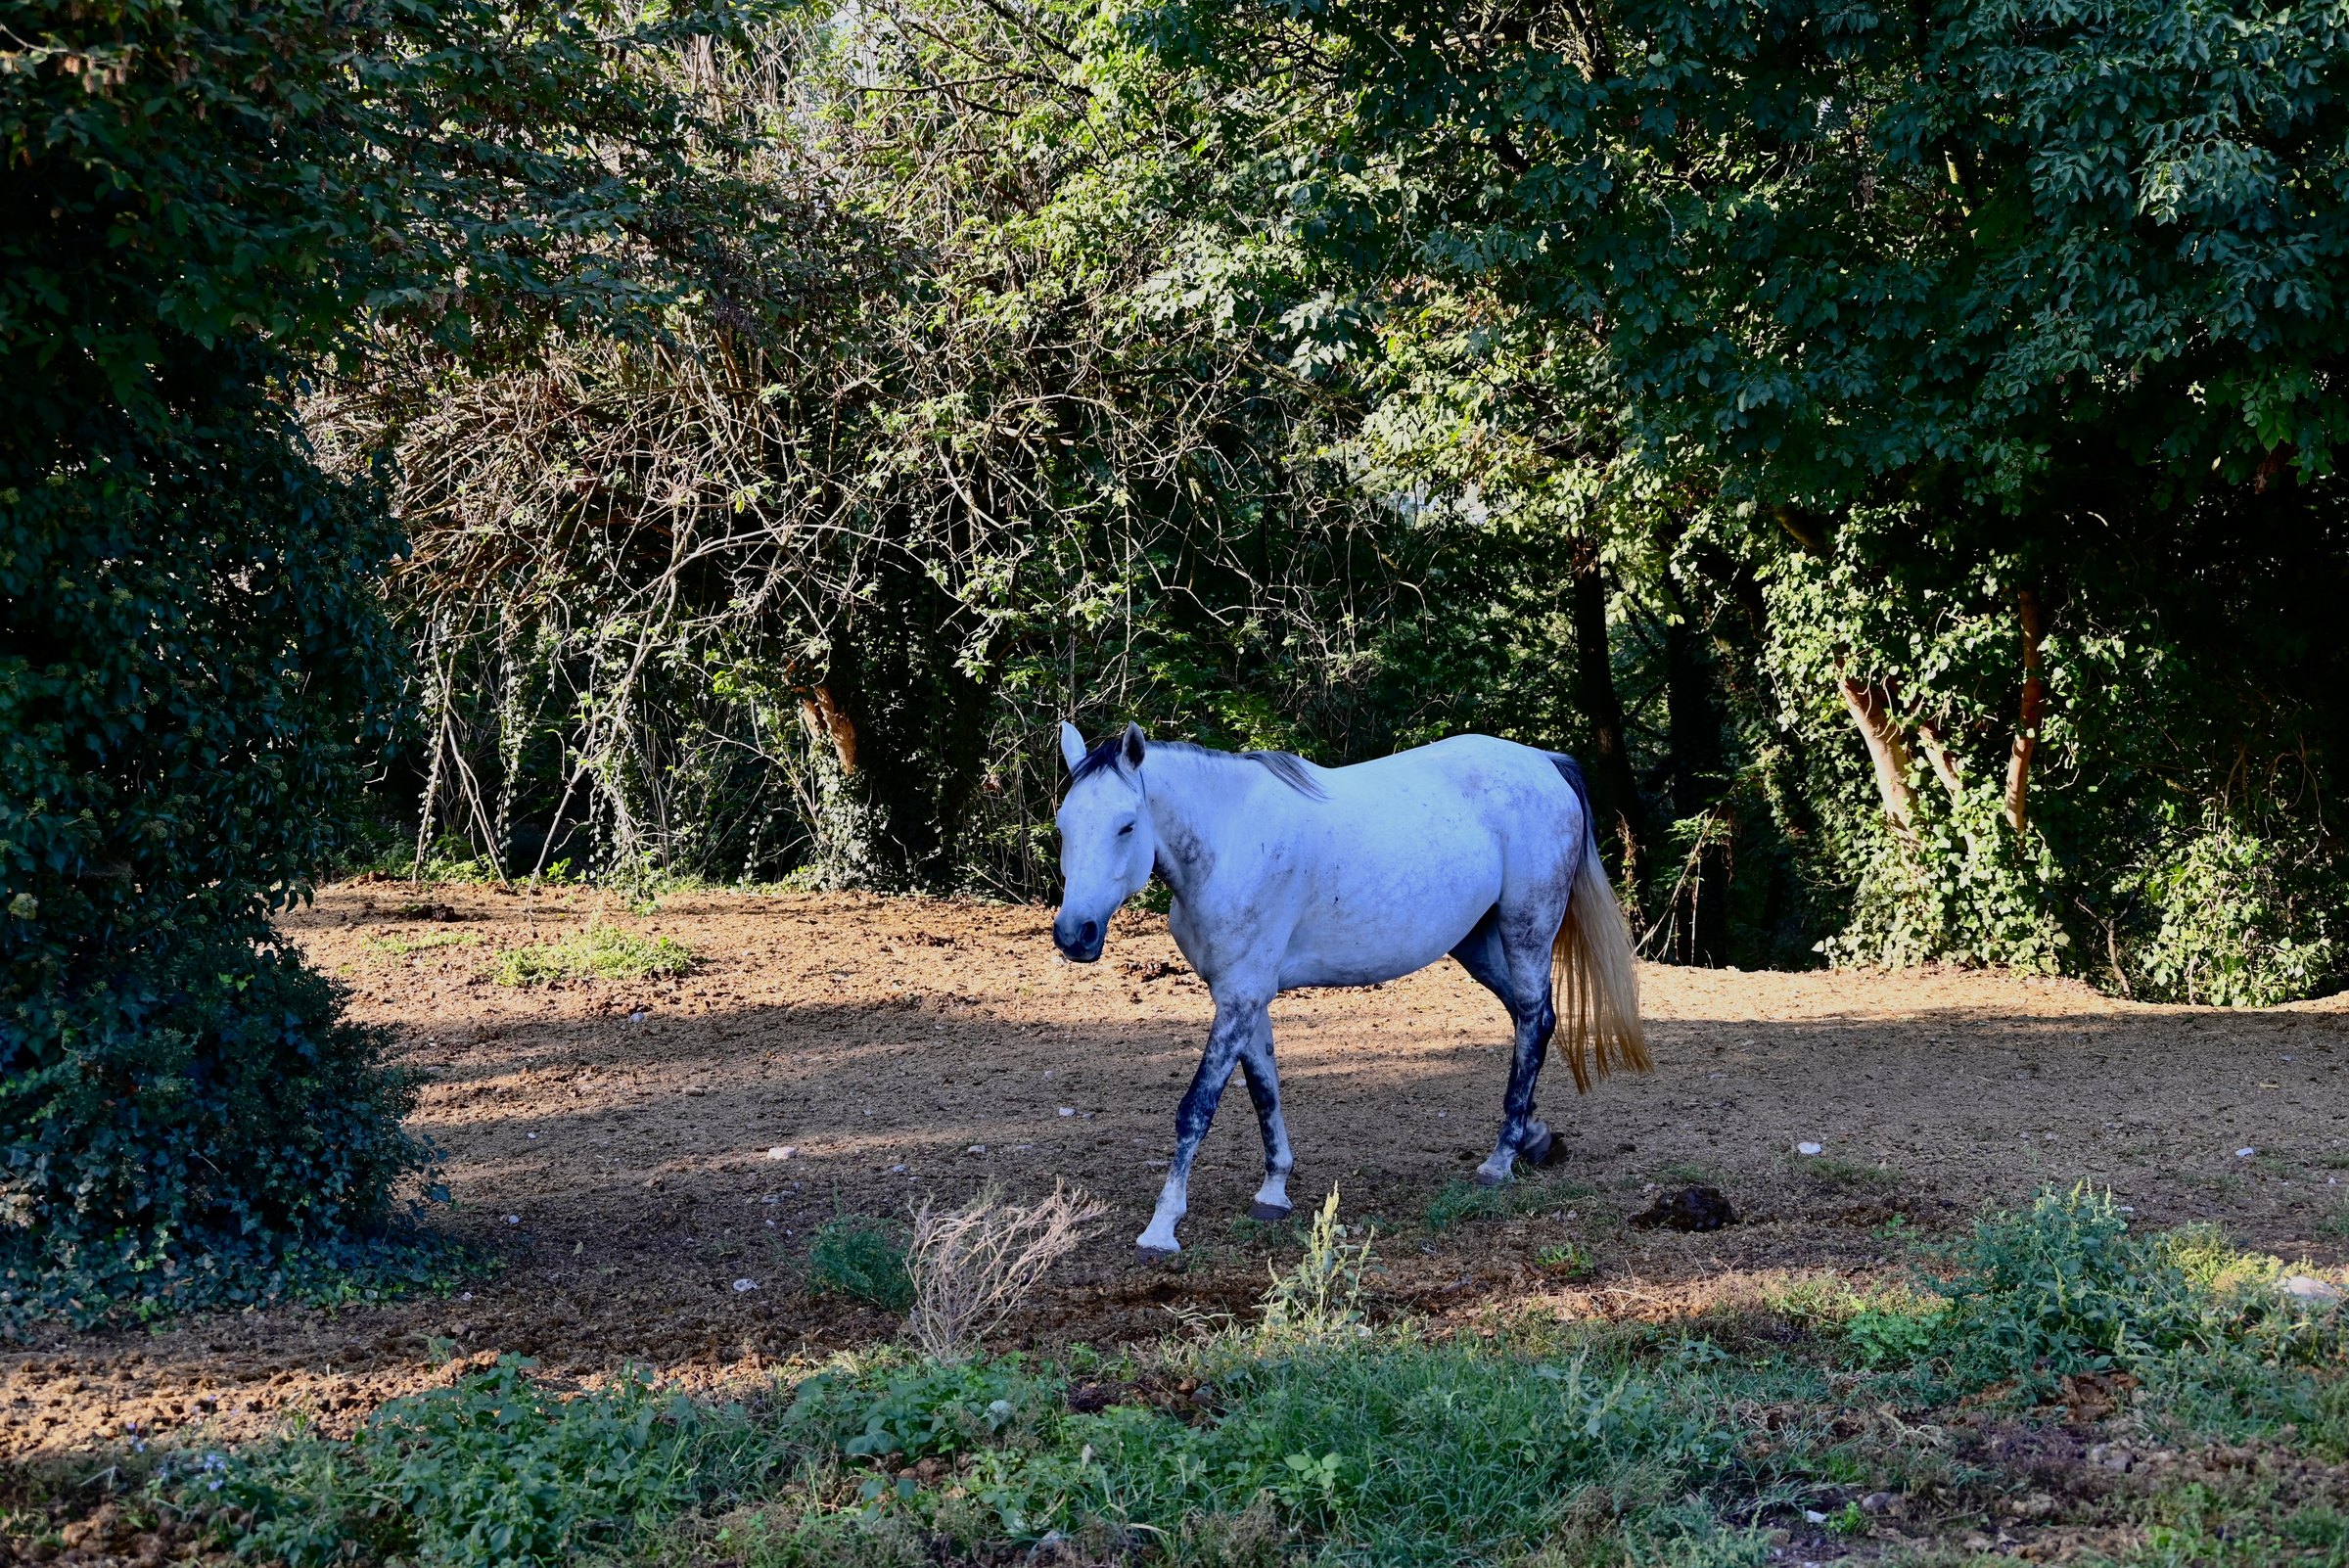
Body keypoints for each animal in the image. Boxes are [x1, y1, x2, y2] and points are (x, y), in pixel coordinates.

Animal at [1051, 721, 1647, 1260]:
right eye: (1063, 826)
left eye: (1126, 825)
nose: (1075, 933)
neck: (1231, 840)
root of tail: (1544, 763)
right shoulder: (1243, 994)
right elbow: (1264, 1089)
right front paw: (1273, 1192)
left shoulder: (1240, 996)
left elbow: (1197, 1107)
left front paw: (1162, 1227)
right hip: (1477, 944)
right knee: (1535, 1021)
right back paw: (1532, 1137)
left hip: (1527, 930)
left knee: (1531, 1019)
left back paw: (1499, 1161)